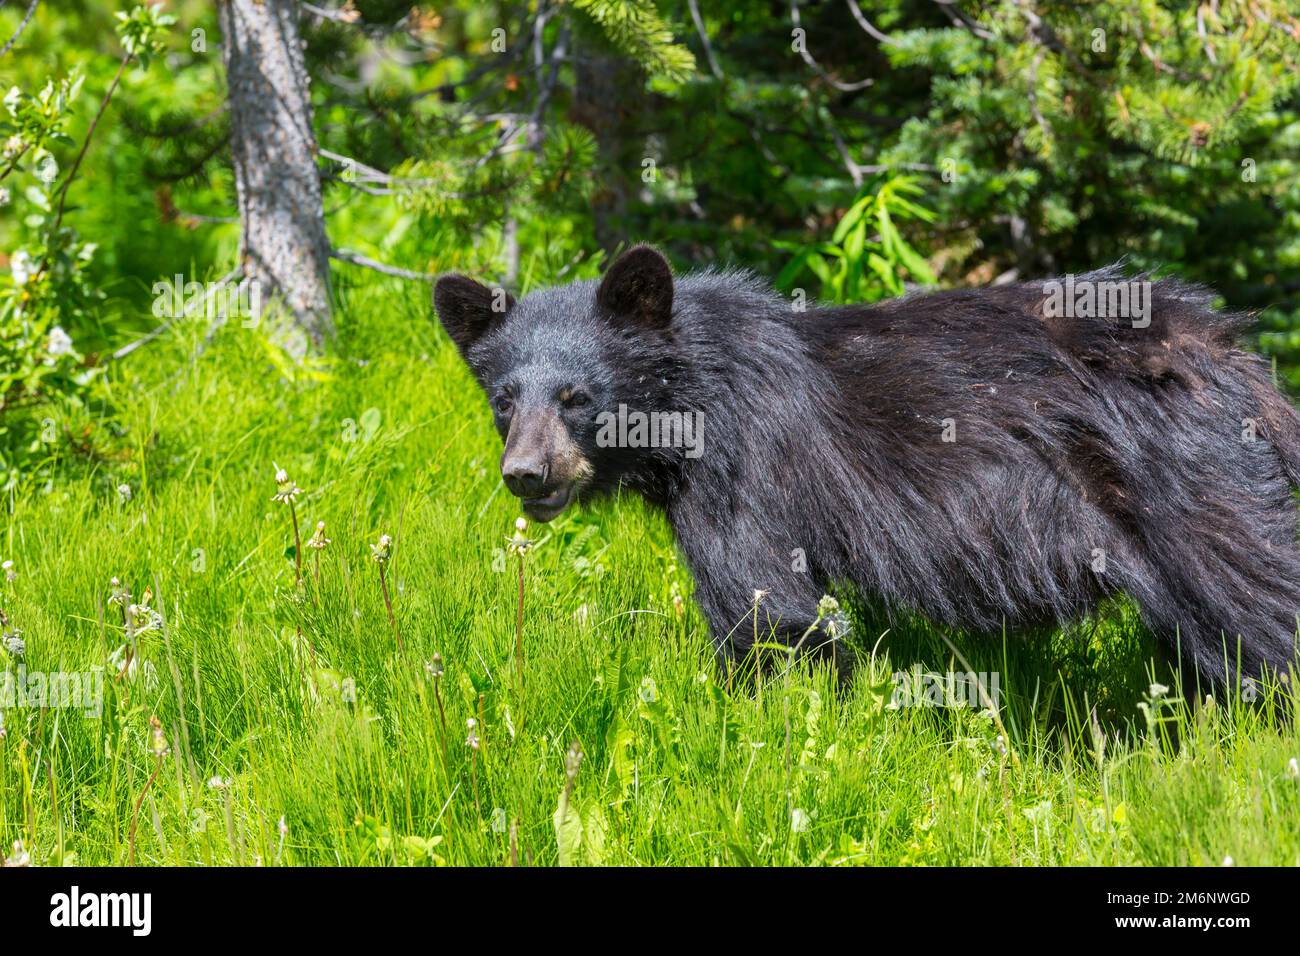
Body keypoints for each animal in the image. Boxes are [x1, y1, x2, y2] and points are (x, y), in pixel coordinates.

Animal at [434, 245, 1300, 685]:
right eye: (504, 399)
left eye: (578, 397)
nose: (526, 474)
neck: (694, 393)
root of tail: (1227, 347)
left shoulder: (746, 466)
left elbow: (765, 606)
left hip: (1181, 482)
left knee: (1254, 587)